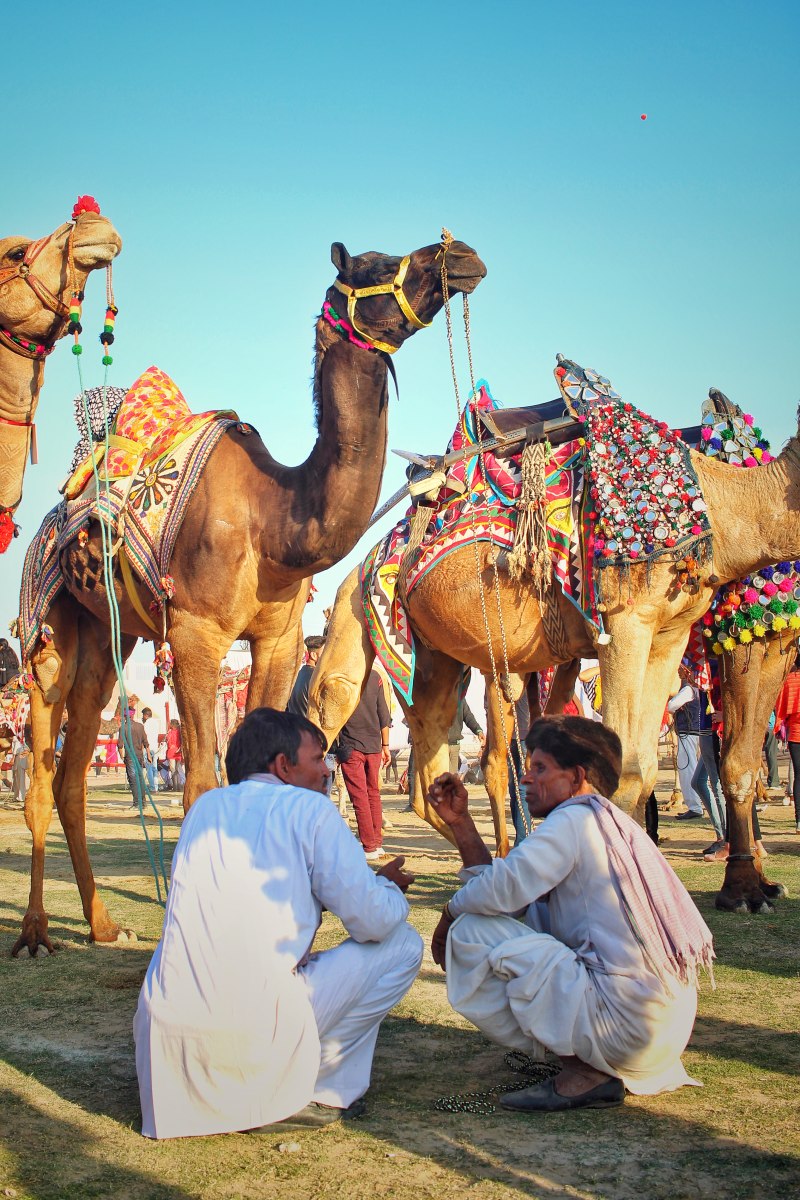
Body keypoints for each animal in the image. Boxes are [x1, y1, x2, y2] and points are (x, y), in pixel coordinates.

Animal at [14, 236, 489, 955]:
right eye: (375, 265)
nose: (459, 254)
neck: (274, 523)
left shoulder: (278, 638)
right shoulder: (196, 633)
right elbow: (202, 785)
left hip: (108, 633)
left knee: (73, 770)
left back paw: (100, 924)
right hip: (52, 622)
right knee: (43, 763)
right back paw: (37, 932)